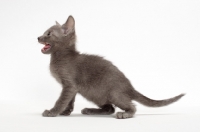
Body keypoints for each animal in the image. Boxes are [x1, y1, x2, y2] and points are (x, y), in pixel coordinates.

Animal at [37, 16, 184, 119]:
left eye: (48, 34)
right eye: (44, 33)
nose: (38, 37)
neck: (59, 57)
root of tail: (130, 87)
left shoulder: (69, 85)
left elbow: (61, 100)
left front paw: (52, 112)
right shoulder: (70, 87)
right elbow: (69, 101)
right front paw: (65, 111)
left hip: (113, 93)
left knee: (130, 106)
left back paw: (125, 114)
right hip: (94, 94)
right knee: (110, 108)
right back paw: (90, 110)